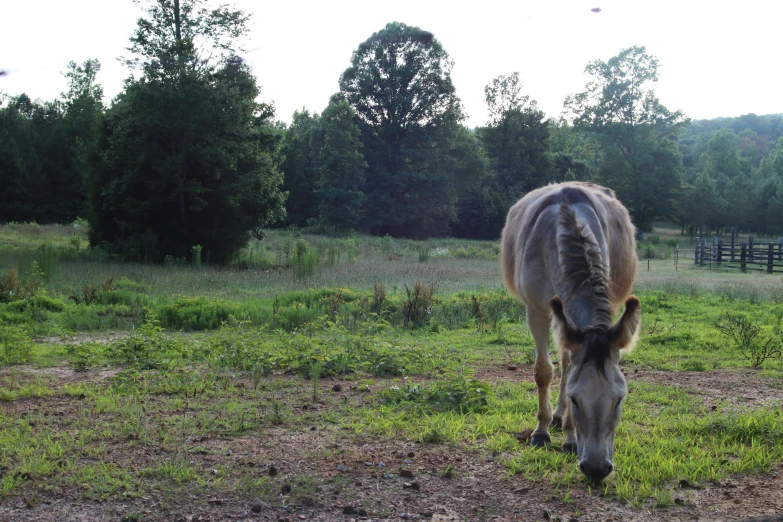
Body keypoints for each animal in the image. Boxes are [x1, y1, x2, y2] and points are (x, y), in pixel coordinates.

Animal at [502, 182, 644, 480]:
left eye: (619, 400)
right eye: (575, 399)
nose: (597, 469)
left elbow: (567, 372)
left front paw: (568, 437)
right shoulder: (536, 312)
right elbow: (543, 372)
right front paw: (541, 432)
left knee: (568, 363)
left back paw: (559, 419)